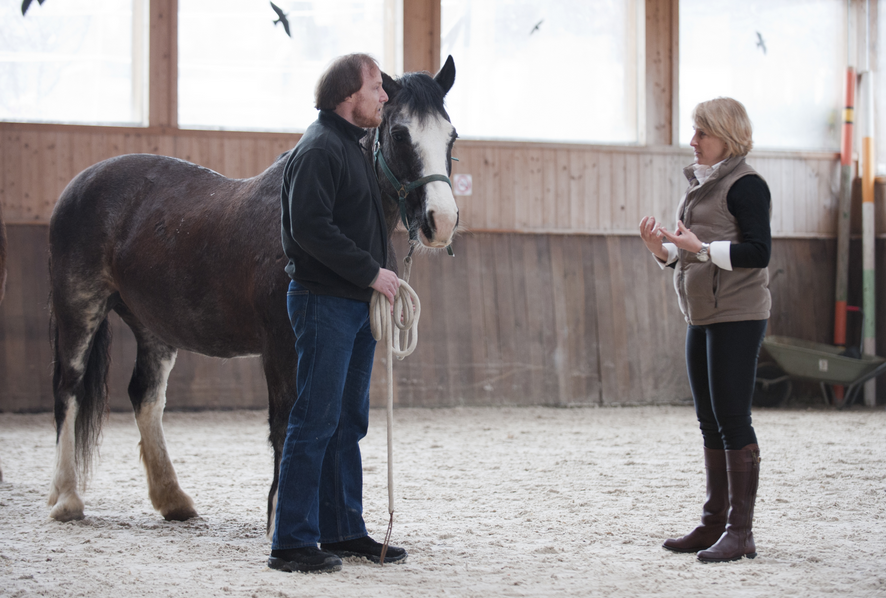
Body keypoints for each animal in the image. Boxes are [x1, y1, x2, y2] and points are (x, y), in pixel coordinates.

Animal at [46, 57, 464, 536]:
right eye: (399, 134)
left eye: (451, 136)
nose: (441, 220)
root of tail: (83, 182)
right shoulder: (283, 344)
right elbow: (287, 420)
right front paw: (281, 517)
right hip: (80, 308)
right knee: (69, 389)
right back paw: (66, 498)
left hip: (153, 327)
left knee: (145, 396)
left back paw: (173, 499)